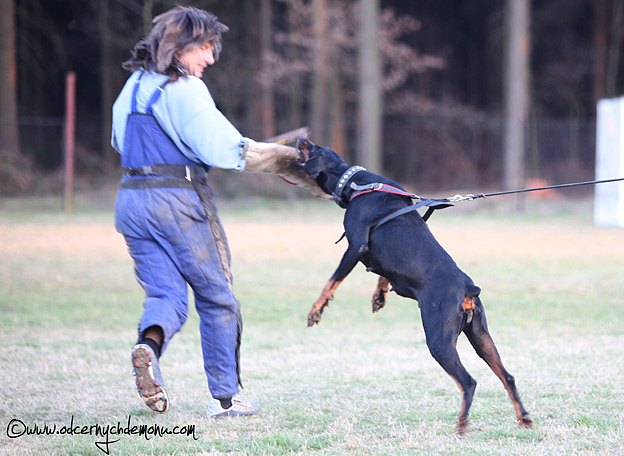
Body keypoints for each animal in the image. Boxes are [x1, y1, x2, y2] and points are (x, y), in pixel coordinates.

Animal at [297, 138, 532, 434]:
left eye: (315, 149)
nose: (302, 139)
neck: (356, 184)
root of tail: (467, 289)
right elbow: (383, 273)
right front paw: (379, 296)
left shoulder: (354, 247)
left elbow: (332, 280)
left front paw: (315, 311)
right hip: (481, 337)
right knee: (507, 376)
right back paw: (523, 418)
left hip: (439, 340)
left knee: (468, 382)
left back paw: (462, 425)